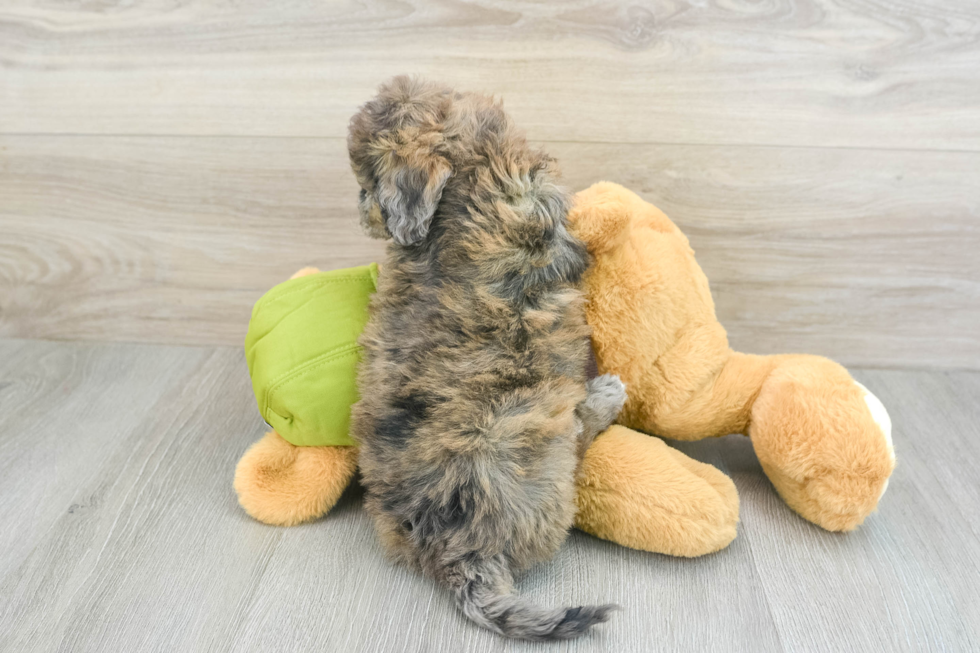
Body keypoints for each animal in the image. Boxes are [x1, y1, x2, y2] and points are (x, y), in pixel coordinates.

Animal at [348, 77, 624, 640]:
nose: (359, 208)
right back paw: (604, 397)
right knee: (577, 435)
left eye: (368, 184)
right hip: (542, 452)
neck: (473, 163)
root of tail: (453, 549)